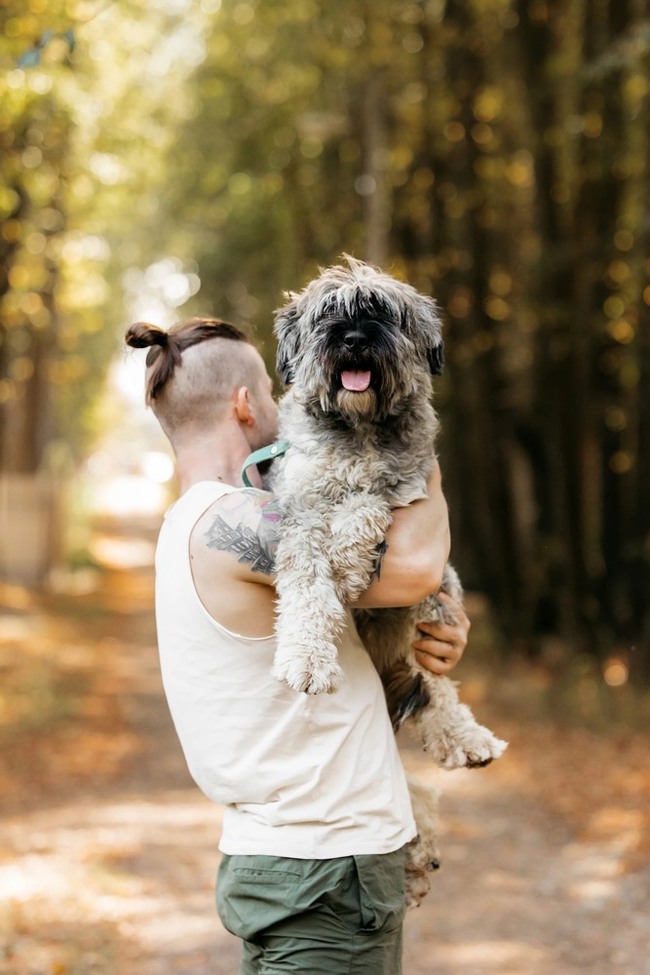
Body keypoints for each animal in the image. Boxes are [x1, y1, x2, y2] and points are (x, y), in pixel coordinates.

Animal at [266, 258, 504, 908]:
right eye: (330, 314)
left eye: (382, 313)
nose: (353, 338)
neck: (359, 431)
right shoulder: (297, 511)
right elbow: (310, 586)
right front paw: (309, 658)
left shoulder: (409, 494)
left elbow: (368, 504)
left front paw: (351, 557)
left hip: (437, 596)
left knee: (437, 688)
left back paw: (467, 739)